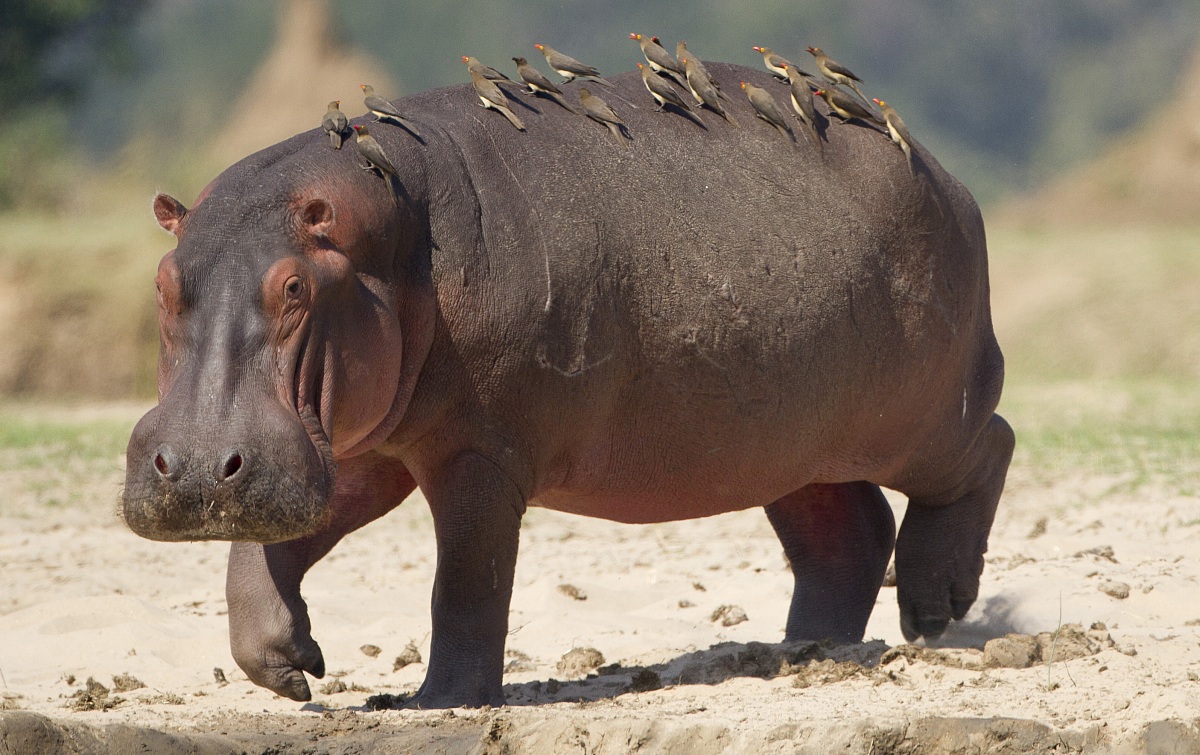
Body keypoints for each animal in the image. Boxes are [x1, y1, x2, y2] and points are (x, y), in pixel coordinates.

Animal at [123, 61, 1013, 708]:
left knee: (983, 450)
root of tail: (947, 174)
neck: (384, 236)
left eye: (293, 288)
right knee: (847, 531)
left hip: (921, 416)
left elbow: (468, 580)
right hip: (786, 444)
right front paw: (289, 665)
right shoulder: (352, 444)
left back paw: (934, 606)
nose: (194, 469)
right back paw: (801, 651)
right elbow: (266, 545)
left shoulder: (480, 453)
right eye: (163, 282)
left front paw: (437, 702)